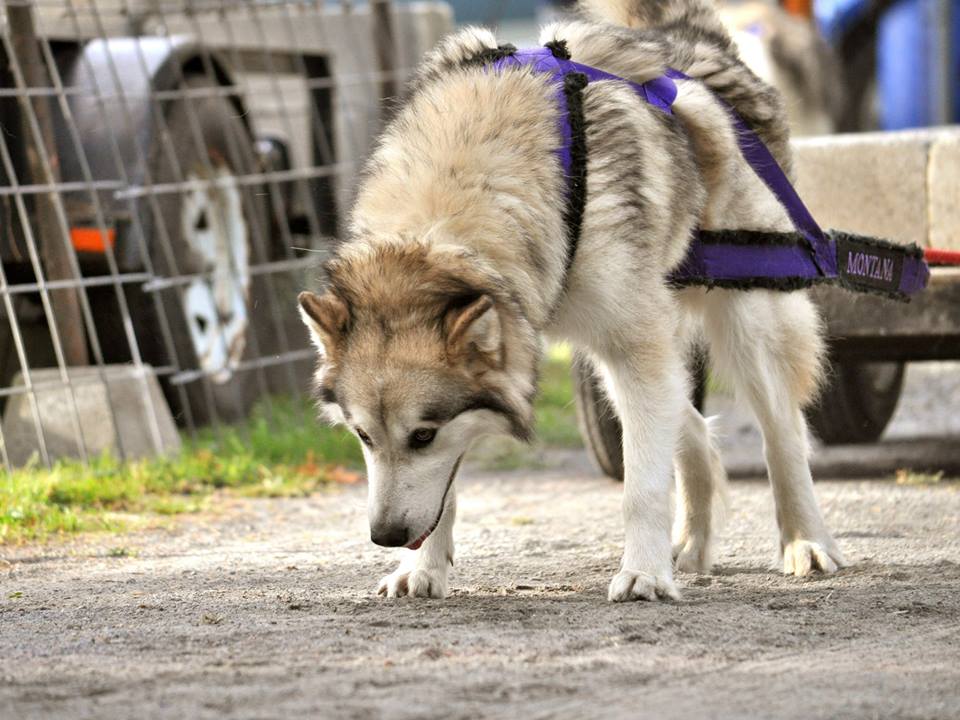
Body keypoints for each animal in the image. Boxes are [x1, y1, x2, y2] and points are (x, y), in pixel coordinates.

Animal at [296, 0, 844, 600]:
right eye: (362, 435)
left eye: (422, 435)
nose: (385, 537)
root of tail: (687, 35)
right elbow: (445, 498)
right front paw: (420, 570)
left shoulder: (634, 349)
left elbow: (641, 488)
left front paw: (644, 574)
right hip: (620, 359)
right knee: (695, 428)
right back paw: (693, 548)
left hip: (742, 327)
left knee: (782, 435)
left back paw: (805, 543)